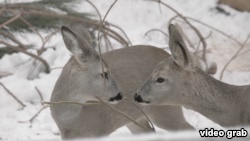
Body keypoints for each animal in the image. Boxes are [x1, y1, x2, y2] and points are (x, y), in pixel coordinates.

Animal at [49, 22, 216, 139]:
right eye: (104, 73)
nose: (119, 95)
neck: (72, 120)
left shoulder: (102, 127)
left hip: (166, 109)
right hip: (135, 119)